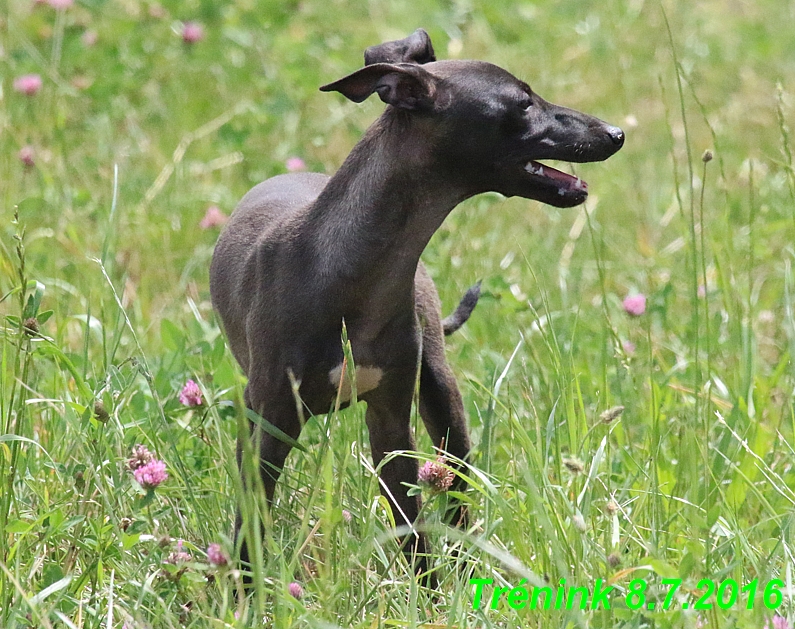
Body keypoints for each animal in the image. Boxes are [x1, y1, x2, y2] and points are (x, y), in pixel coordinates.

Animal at [208, 28, 624, 580]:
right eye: (523, 103)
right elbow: (249, 528)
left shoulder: (391, 422)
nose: (616, 133)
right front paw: (243, 592)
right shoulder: (268, 427)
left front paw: (429, 591)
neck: (348, 270)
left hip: (442, 396)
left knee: (458, 490)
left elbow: (414, 532)